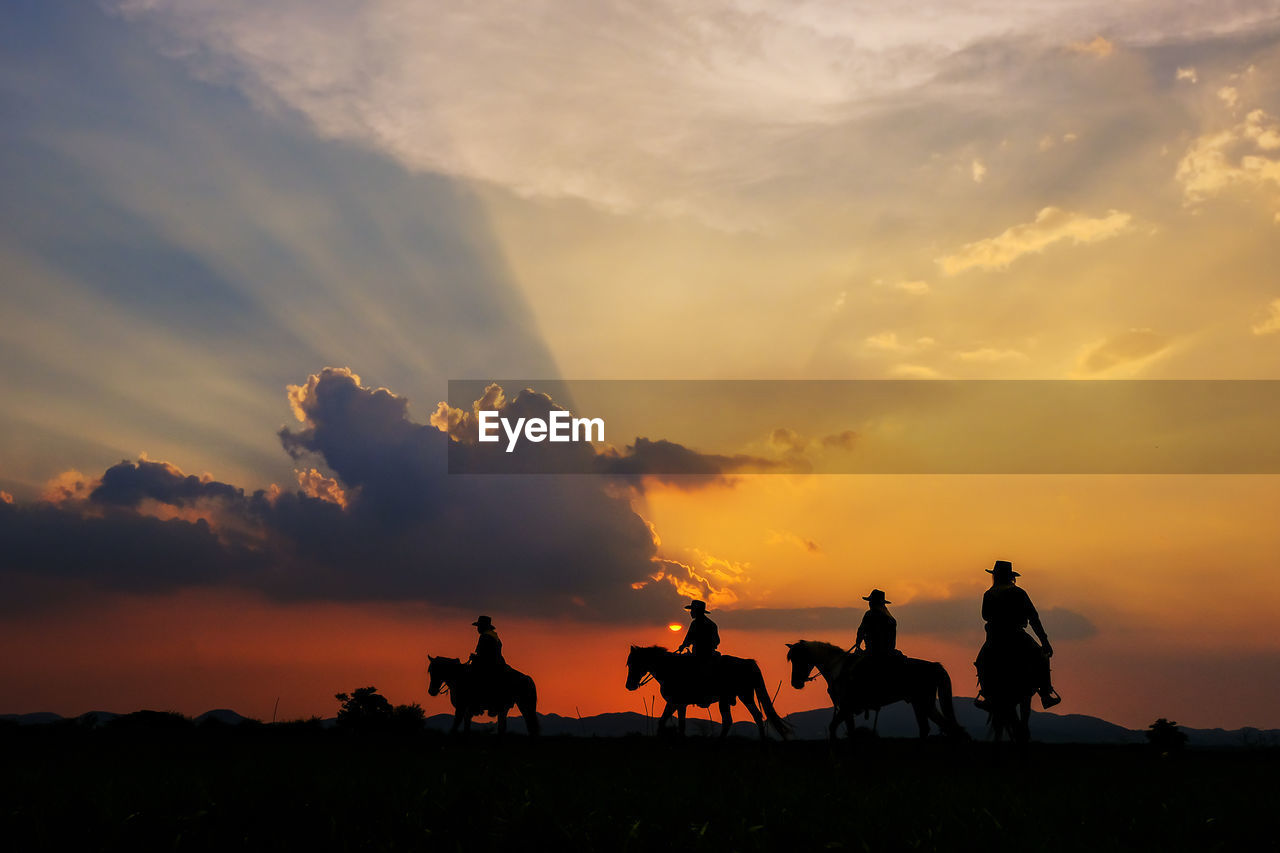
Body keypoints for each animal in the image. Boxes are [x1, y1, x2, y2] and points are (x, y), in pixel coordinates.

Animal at [622, 645, 788, 737]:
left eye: (633, 663)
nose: (629, 685)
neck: (671, 669)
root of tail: (748, 663)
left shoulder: (678, 703)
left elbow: (679, 724)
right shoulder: (674, 703)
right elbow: (663, 722)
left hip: (733, 698)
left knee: (729, 720)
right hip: (743, 696)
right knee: (756, 716)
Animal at [783, 637, 962, 737]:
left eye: (800, 658)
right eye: (792, 659)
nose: (795, 683)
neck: (838, 668)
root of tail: (934, 666)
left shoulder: (846, 707)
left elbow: (833, 727)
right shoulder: (847, 711)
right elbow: (850, 731)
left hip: (924, 703)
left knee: (947, 727)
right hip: (920, 704)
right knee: (930, 728)